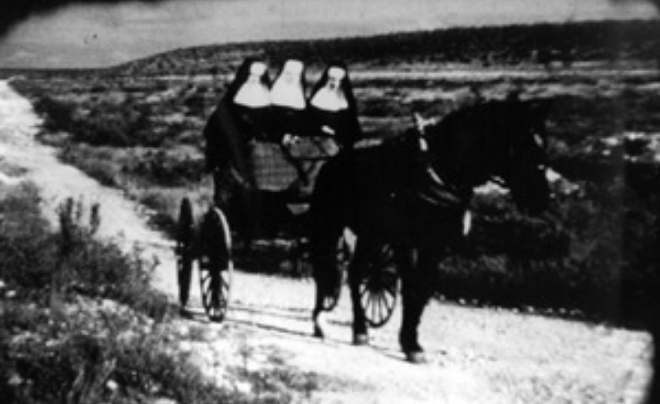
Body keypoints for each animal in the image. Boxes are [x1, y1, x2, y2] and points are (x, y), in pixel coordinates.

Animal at [308, 100, 552, 362]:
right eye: (521, 144)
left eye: (543, 144)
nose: (540, 199)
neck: (439, 171)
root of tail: (331, 162)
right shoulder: (406, 243)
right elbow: (411, 288)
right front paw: (409, 343)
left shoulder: (435, 244)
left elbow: (423, 289)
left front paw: (412, 340)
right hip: (329, 227)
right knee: (323, 271)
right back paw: (320, 322)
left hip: (370, 234)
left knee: (355, 274)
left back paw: (360, 330)